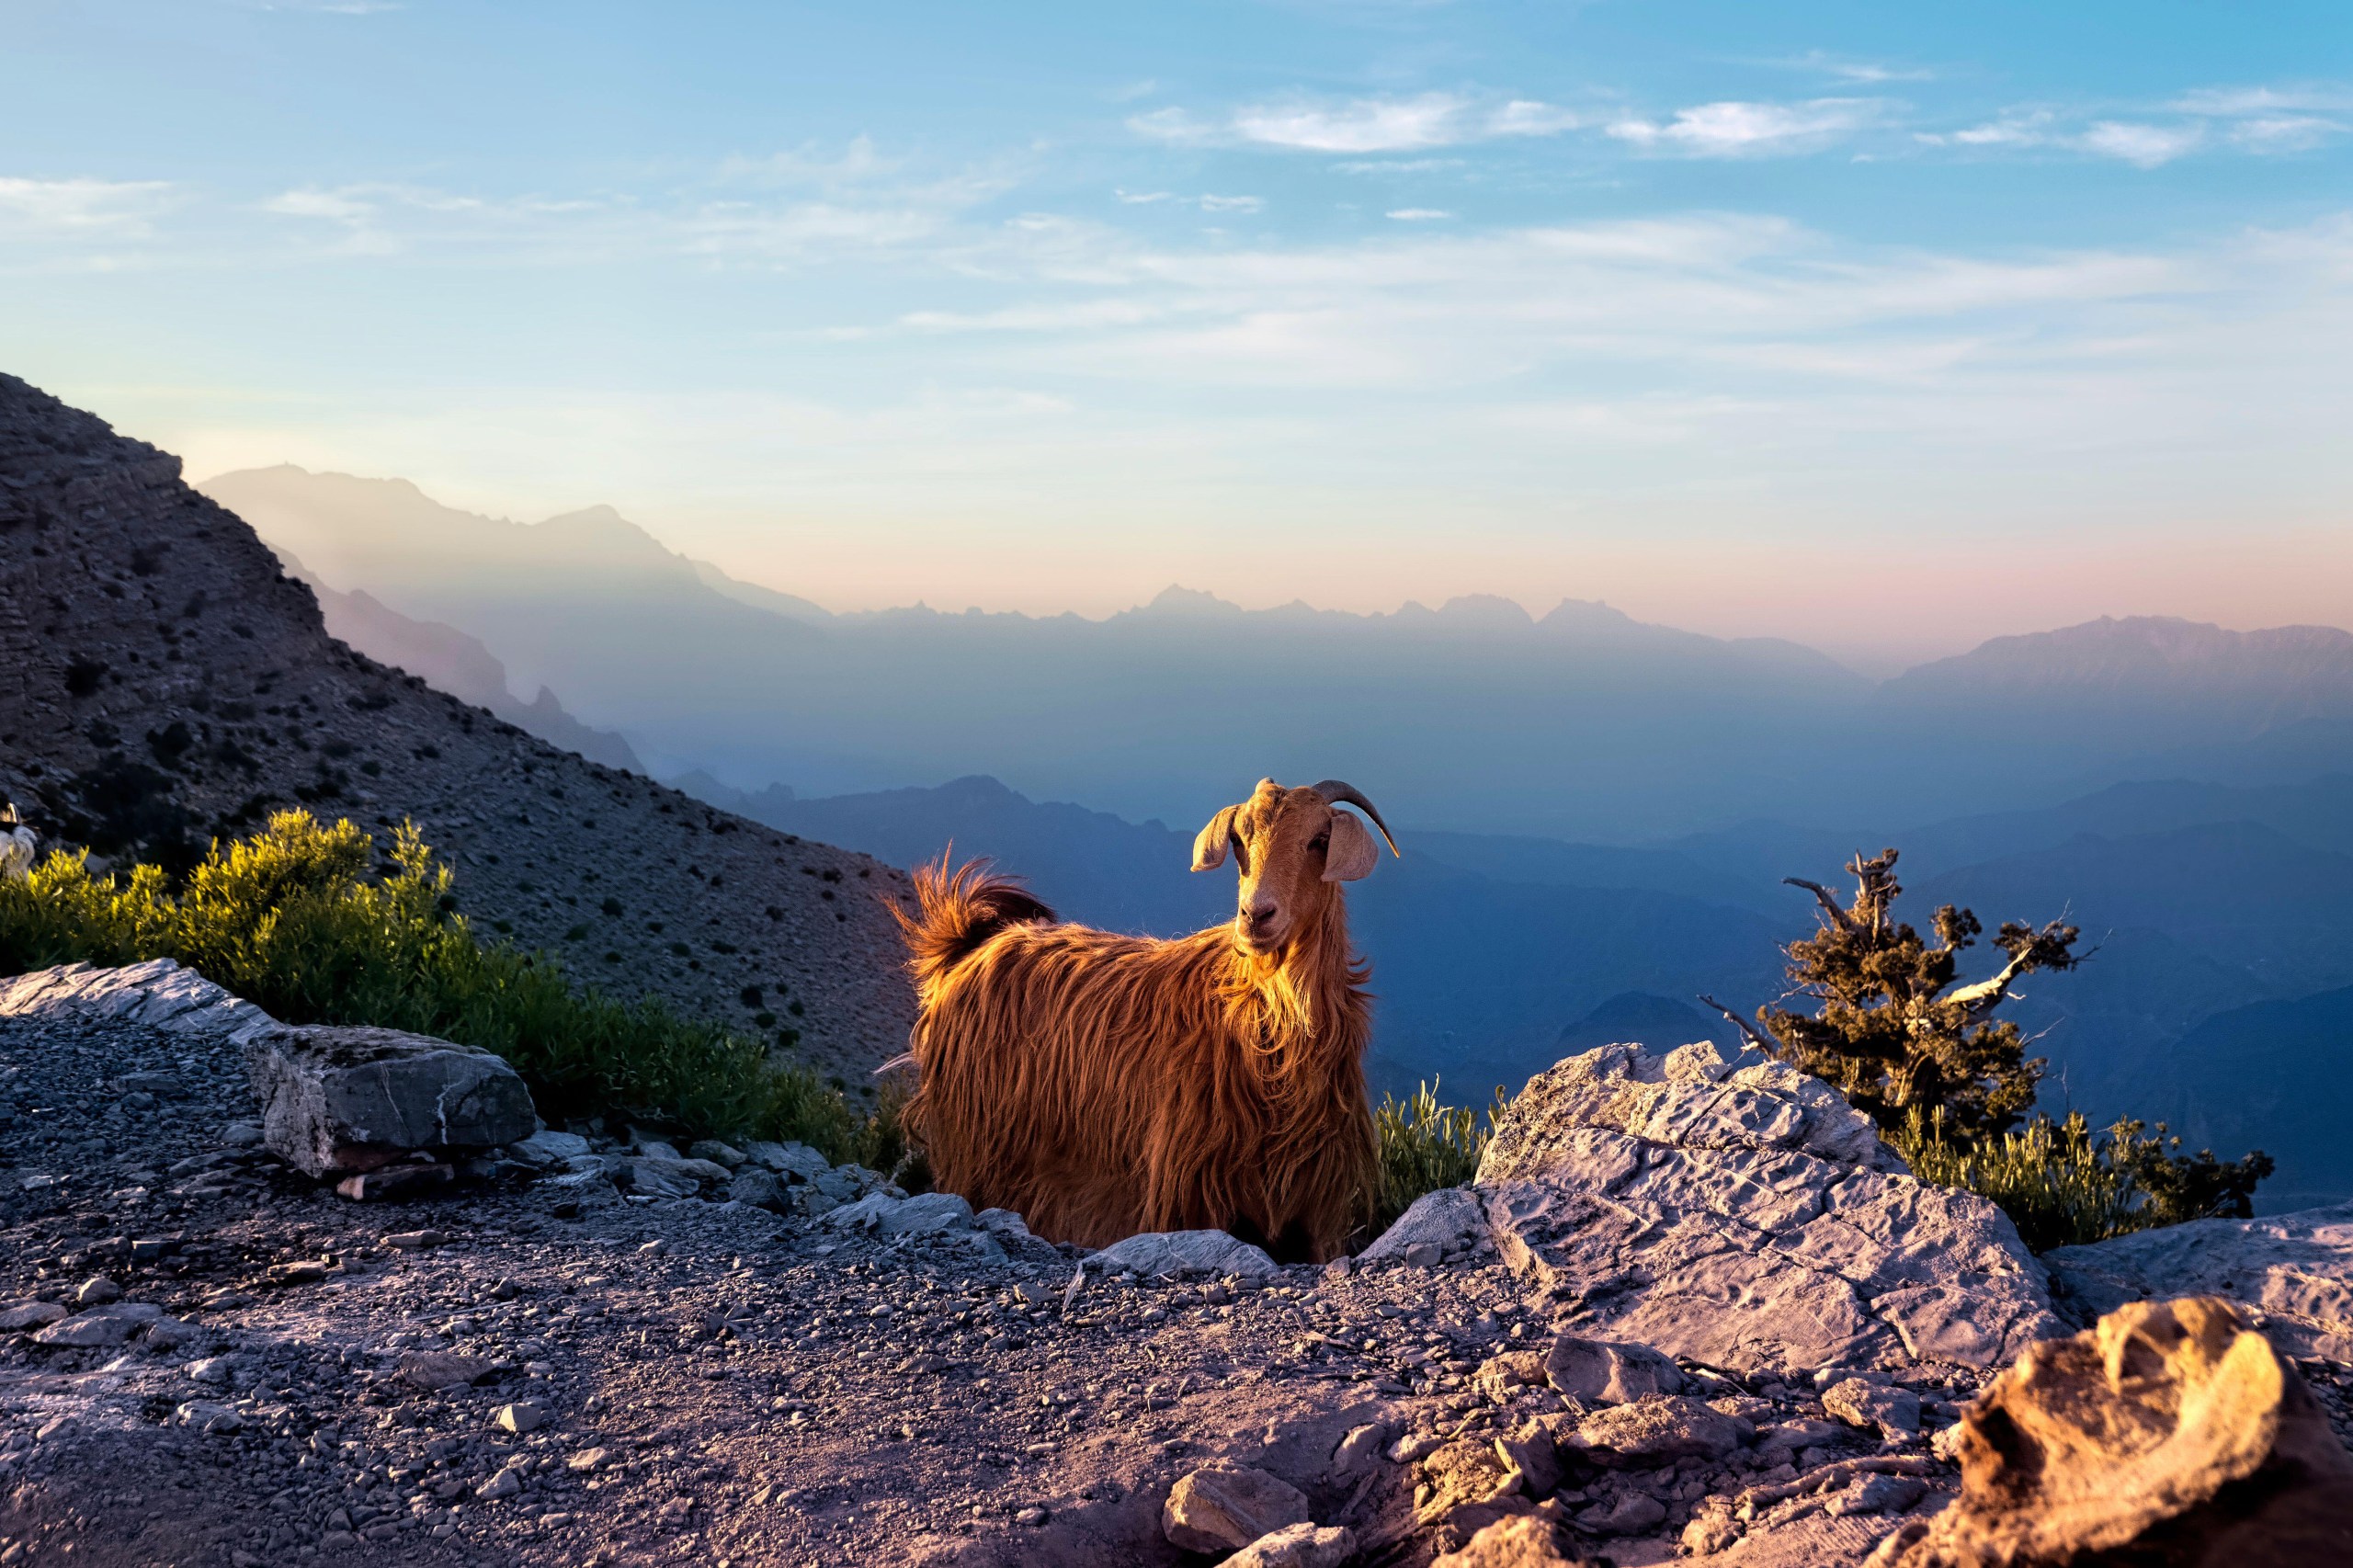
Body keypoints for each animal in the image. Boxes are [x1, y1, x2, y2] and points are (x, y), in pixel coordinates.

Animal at [889, 777, 1383, 1261]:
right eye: (1239, 840)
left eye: (1320, 839)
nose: (1255, 917)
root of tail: (972, 947)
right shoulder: (1189, 1190)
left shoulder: (1312, 1209)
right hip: (974, 1153)